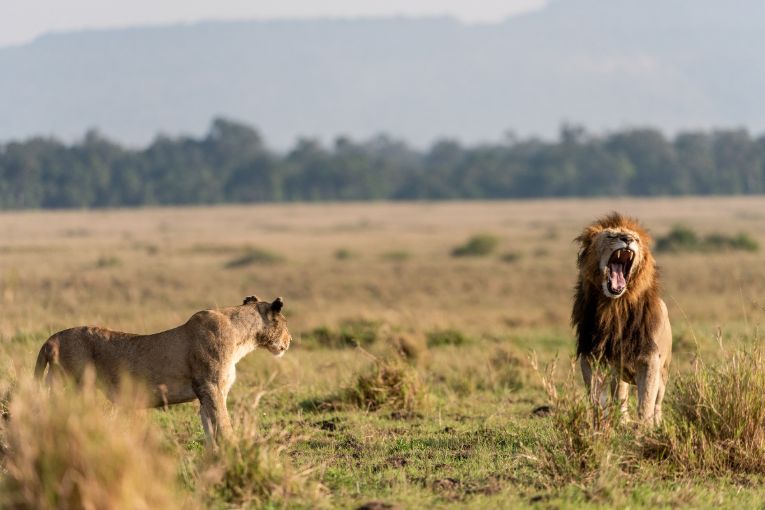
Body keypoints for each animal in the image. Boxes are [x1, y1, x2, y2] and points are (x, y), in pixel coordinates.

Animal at [32, 296, 290, 444]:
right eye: (285, 323)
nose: (290, 341)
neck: (242, 336)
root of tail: (51, 339)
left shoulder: (206, 393)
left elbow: (209, 428)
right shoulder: (212, 386)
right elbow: (223, 425)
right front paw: (232, 451)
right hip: (75, 388)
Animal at [572, 213, 672, 424]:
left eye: (636, 239)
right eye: (611, 236)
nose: (628, 239)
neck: (615, 307)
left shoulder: (649, 357)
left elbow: (646, 402)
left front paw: (644, 429)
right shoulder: (590, 355)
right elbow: (596, 398)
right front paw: (600, 426)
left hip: (664, 371)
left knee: (657, 402)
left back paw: (657, 424)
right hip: (618, 372)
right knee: (620, 395)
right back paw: (623, 421)